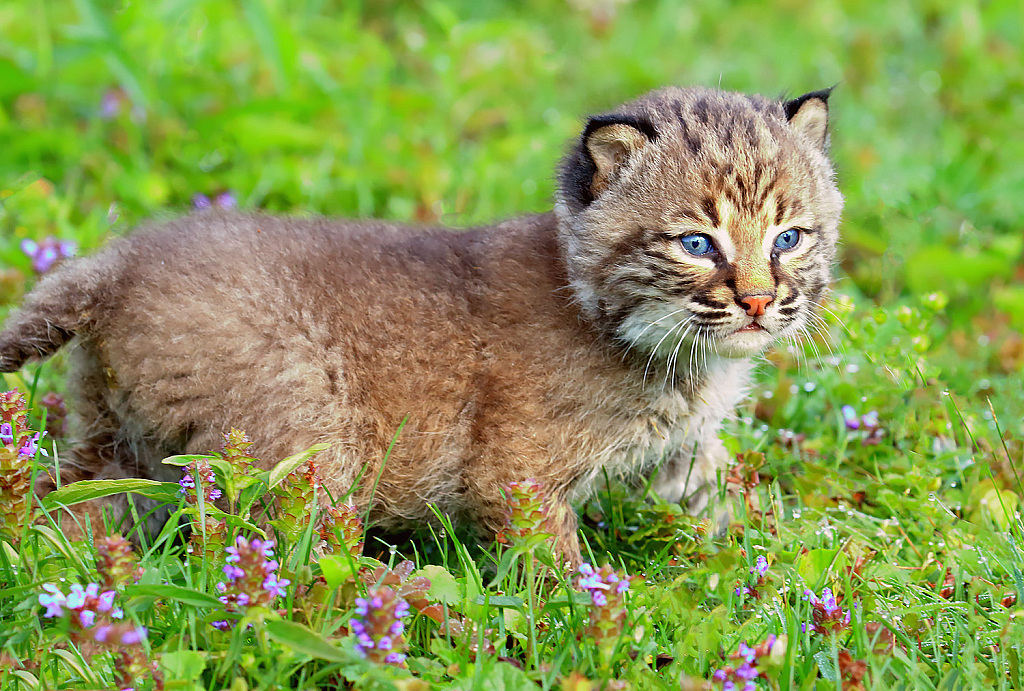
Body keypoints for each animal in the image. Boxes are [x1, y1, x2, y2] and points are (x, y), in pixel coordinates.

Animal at [0, 86, 839, 565]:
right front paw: (588, 615)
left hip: (119, 444)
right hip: (302, 428)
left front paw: (788, 562)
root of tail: (118, 259)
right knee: (298, 558)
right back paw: (405, 600)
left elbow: (720, 500)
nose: (758, 302)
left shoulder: (684, 450)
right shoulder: (516, 472)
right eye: (697, 244)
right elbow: (553, 562)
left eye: (789, 238)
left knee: (60, 507)